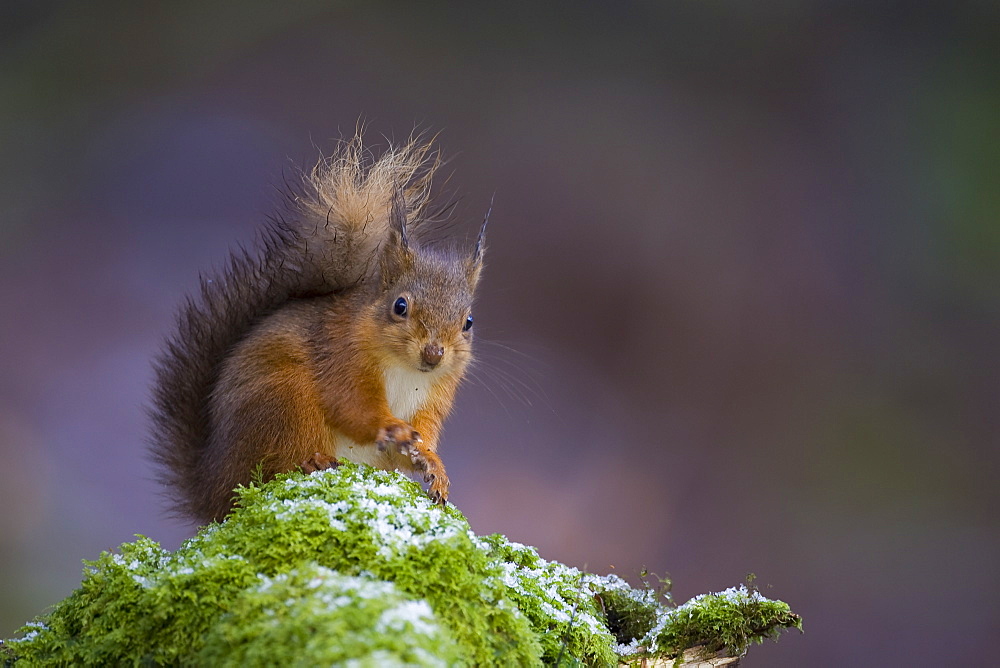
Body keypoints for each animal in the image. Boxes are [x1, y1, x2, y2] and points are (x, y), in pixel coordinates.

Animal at [149, 134, 488, 520]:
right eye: (400, 306)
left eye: (468, 322)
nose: (433, 354)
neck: (407, 371)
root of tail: (211, 489)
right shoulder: (341, 357)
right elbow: (352, 407)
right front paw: (391, 427)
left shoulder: (435, 398)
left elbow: (422, 436)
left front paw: (432, 464)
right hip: (286, 402)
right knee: (271, 466)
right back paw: (309, 461)